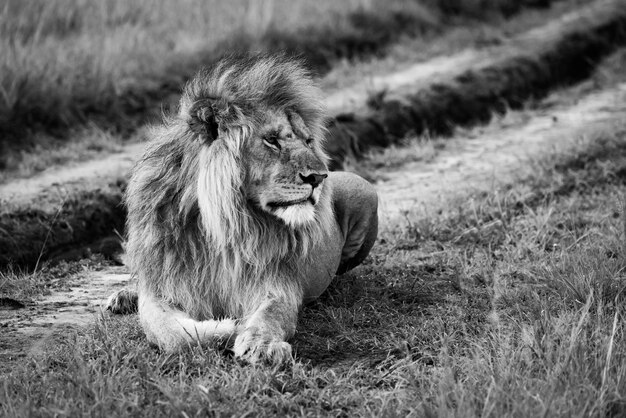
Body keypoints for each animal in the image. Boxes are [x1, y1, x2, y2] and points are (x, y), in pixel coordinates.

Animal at [106, 54, 376, 362]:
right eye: (272, 140)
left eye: (308, 141)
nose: (319, 177)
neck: (220, 227)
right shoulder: (163, 286)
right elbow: (172, 335)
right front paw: (226, 327)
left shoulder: (275, 283)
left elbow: (270, 315)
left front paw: (261, 344)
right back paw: (125, 296)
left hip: (365, 192)